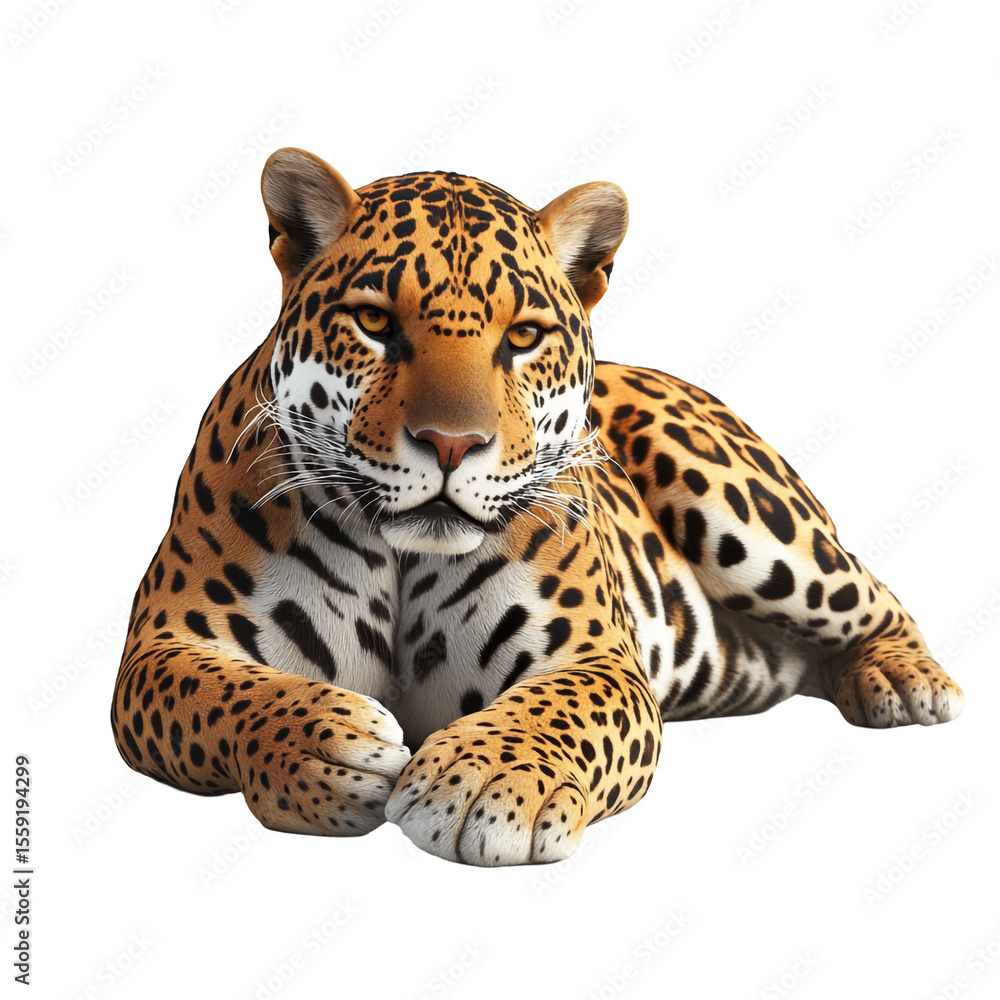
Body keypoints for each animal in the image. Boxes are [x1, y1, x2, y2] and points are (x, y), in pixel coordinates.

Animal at [110, 146, 964, 866]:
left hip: (751, 515)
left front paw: (486, 782)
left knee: (872, 592)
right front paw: (325, 745)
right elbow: (229, 695)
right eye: (375, 322)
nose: (451, 444)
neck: (404, 555)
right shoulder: (160, 646)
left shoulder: (596, 655)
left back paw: (906, 681)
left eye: (523, 336)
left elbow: (557, 710)